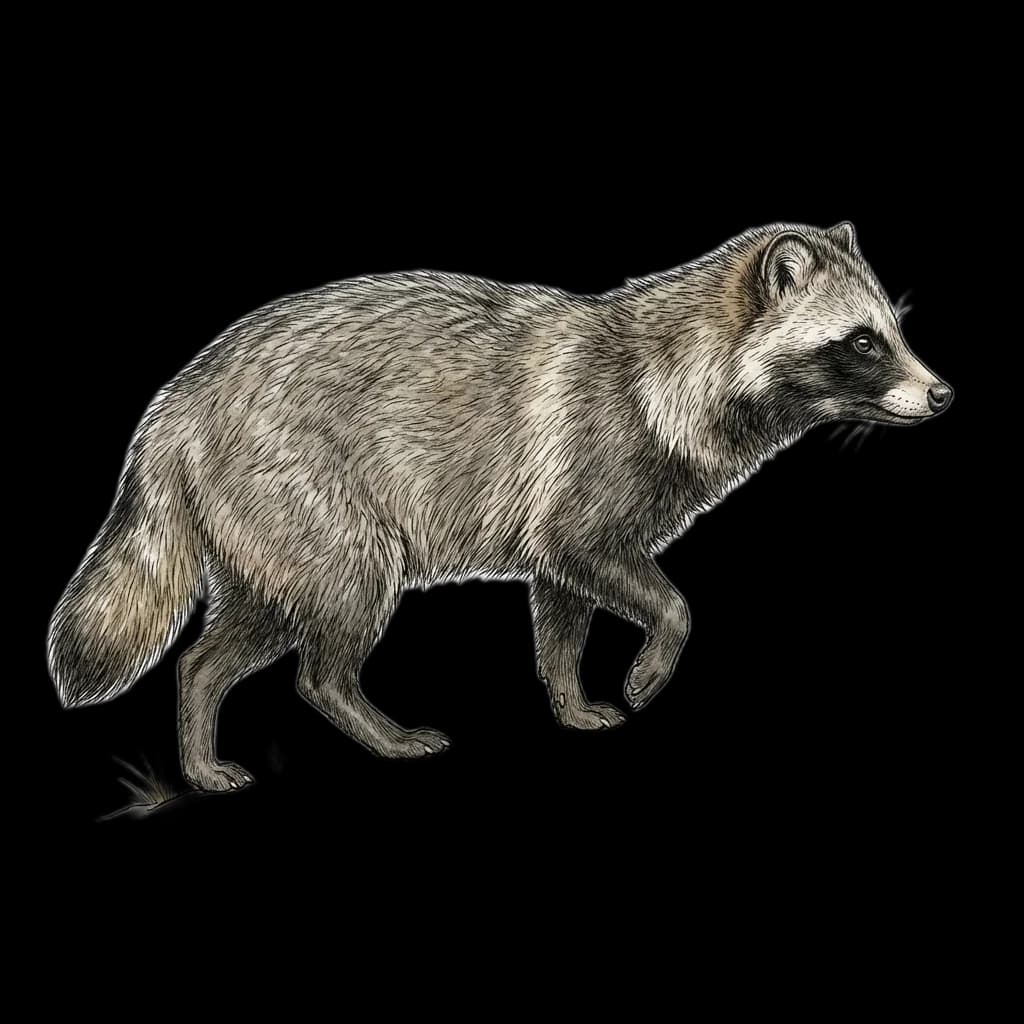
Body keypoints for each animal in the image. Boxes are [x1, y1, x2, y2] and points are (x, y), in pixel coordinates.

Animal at [47, 222, 952, 791]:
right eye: (862, 341)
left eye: (896, 329)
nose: (942, 393)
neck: (678, 365)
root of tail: (177, 404)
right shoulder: (592, 471)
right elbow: (663, 598)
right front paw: (651, 665)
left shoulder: (554, 524)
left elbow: (559, 616)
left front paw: (573, 700)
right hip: (308, 495)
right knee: (330, 637)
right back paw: (373, 723)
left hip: (262, 533)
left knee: (217, 651)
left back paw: (201, 744)